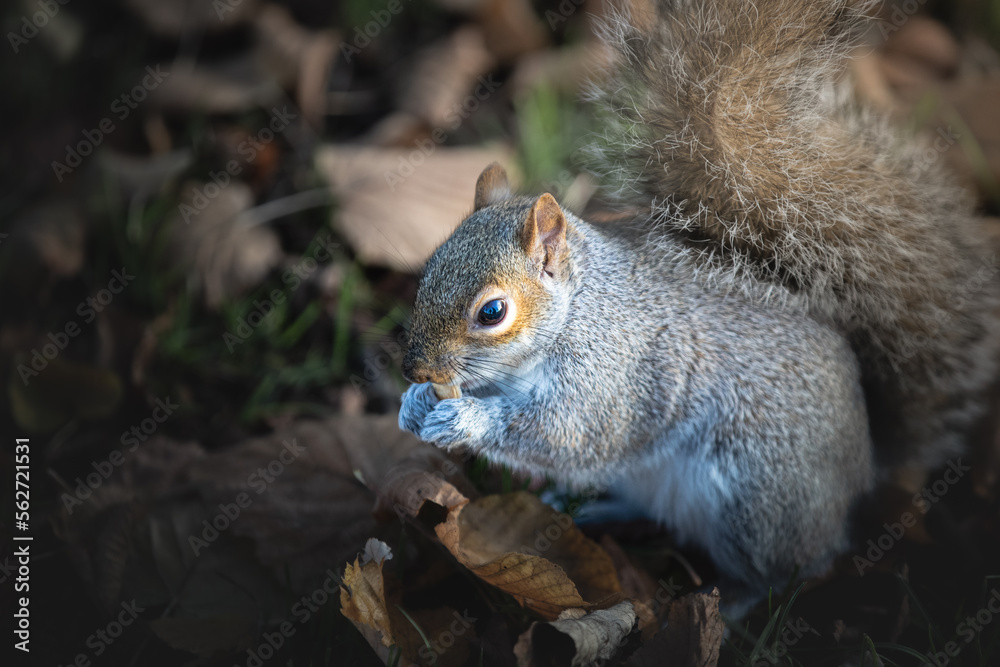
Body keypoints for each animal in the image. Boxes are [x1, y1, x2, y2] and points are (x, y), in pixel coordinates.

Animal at [394, 0, 1000, 616]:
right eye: (429, 267)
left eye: (492, 312)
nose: (414, 368)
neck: (577, 311)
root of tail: (863, 469)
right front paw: (414, 405)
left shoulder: (615, 372)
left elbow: (571, 433)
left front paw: (468, 418)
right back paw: (593, 508)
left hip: (757, 496)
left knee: (795, 567)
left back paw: (731, 603)